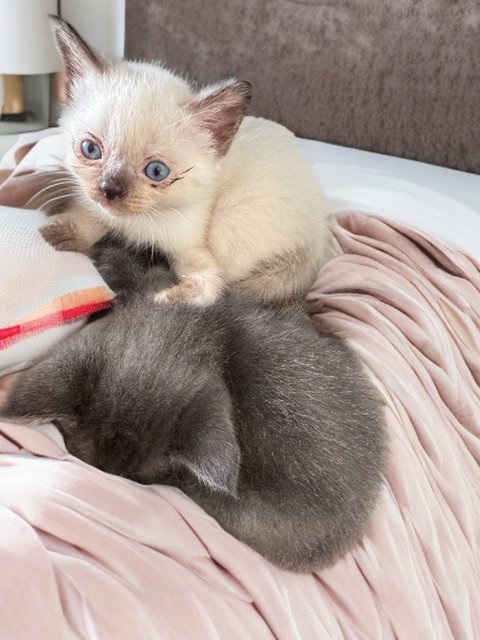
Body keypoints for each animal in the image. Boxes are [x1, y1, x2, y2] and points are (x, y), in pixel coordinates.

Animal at [43, 16, 328, 304]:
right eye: (90, 149)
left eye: (156, 171)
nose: (110, 190)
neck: (135, 223)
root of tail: (318, 241)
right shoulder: (96, 205)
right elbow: (90, 217)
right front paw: (57, 234)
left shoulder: (194, 249)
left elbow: (208, 288)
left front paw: (157, 297)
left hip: (230, 224)